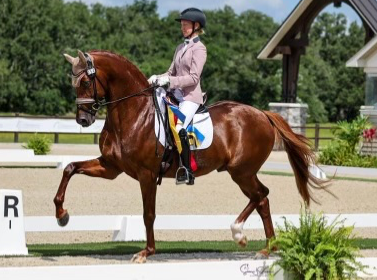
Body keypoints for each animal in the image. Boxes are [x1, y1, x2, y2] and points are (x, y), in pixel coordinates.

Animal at [53, 49, 326, 262]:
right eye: (73, 83)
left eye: (85, 82)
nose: (83, 120)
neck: (134, 113)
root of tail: (262, 114)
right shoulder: (111, 167)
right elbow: (70, 168)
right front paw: (62, 215)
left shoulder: (146, 174)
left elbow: (148, 214)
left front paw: (146, 252)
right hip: (241, 172)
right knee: (261, 199)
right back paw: (266, 248)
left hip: (242, 171)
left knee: (261, 196)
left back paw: (243, 235)